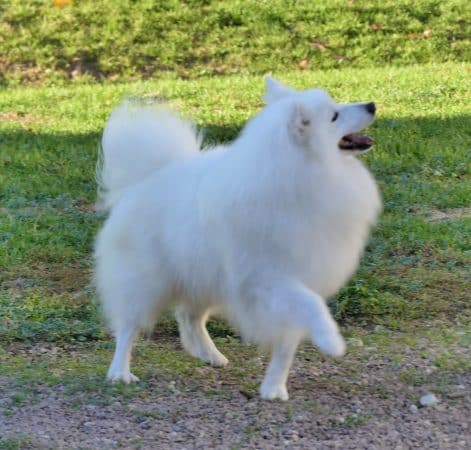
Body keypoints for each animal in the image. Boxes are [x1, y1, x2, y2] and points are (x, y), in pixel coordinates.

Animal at [94, 77, 382, 400]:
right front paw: (331, 340)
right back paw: (120, 372)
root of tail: (145, 179)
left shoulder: (293, 279)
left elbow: (287, 343)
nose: (372, 105)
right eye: (334, 116)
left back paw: (211, 355)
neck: (306, 174)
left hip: (204, 276)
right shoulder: (268, 279)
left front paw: (274, 387)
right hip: (147, 280)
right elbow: (311, 304)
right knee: (129, 326)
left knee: (189, 317)